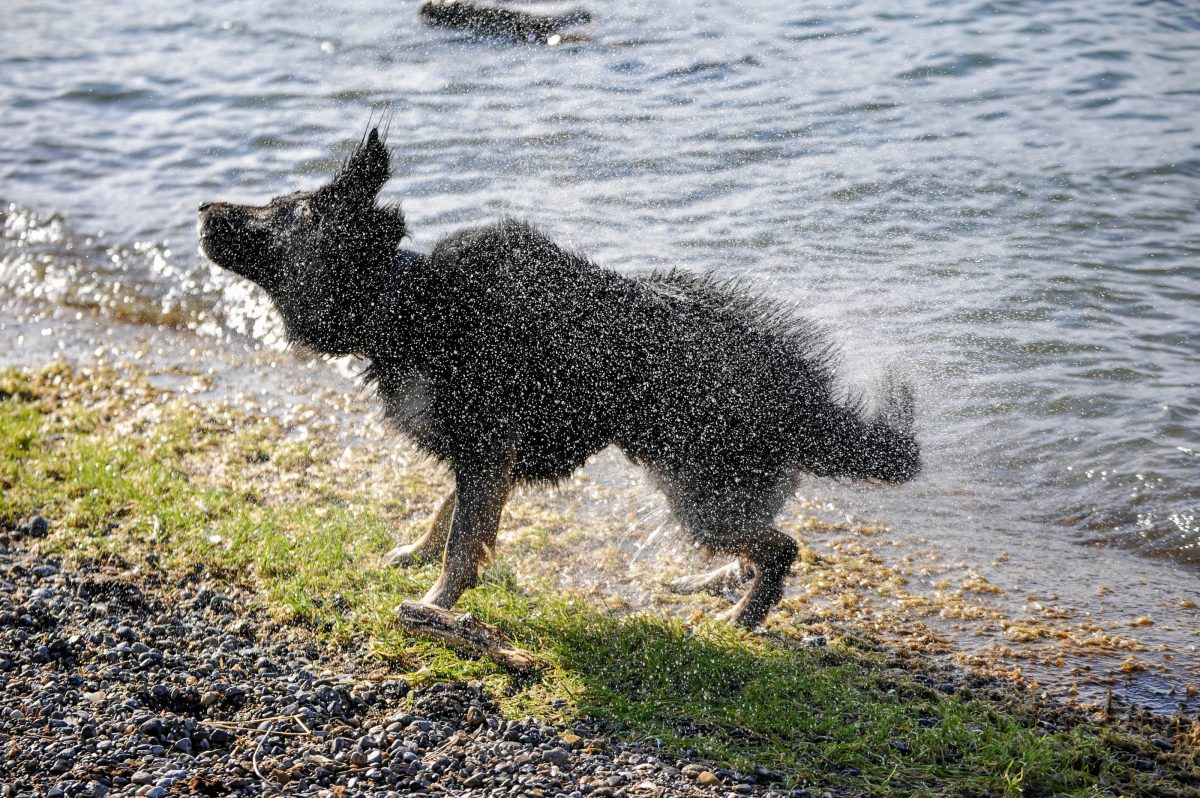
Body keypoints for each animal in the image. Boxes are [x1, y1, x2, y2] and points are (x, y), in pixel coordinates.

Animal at [196, 129, 916, 628]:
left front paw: (436, 601)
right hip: (707, 486)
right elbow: (451, 515)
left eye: (276, 210)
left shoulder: (487, 444)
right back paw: (712, 584)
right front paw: (420, 555)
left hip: (699, 490)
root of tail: (808, 397)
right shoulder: (484, 452)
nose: (203, 205)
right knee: (762, 542)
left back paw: (741, 616)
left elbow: (463, 539)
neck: (407, 304)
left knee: (783, 548)